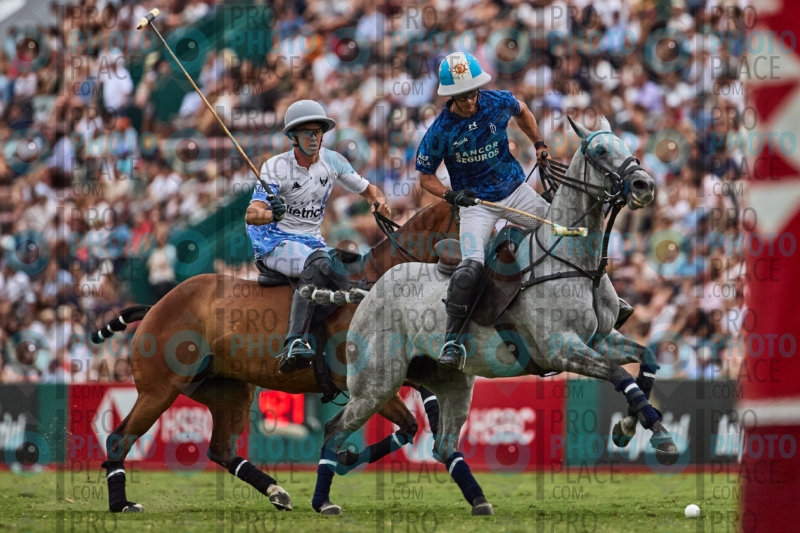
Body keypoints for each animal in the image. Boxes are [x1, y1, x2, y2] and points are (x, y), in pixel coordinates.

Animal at [89, 199, 461, 515]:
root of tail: (157, 304)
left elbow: (414, 421)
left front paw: (347, 457)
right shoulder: (365, 384)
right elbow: (404, 422)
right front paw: (340, 464)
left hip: (230, 391)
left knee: (220, 450)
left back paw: (276, 492)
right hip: (159, 389)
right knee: (119, 438)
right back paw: (121, 504)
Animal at [319, 117, 679, 515]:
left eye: (626, 145)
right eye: (599, 151)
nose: (644, 185)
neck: (577, 264)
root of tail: (368, 291)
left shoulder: (602, 338)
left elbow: (647, 358)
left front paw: (634, 428)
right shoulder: (562, 348)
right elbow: (620, 375)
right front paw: (655, 434)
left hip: (450, 383)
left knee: (442, 445)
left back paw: (478, 500)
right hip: (376, 382)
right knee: (335, 430)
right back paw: (323, 500)